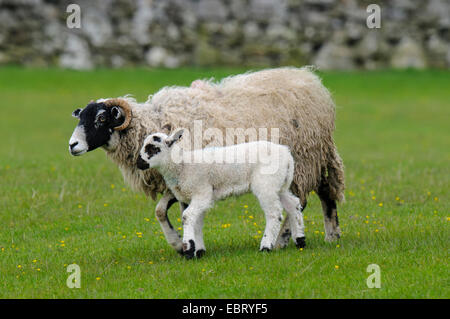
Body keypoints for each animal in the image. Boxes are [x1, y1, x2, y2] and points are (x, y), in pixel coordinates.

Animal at [137, 130, 306, 260]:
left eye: (152, 148)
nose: (139, 163)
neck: (182, 166)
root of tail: (287, 155)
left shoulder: (202, 193)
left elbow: (187, 217)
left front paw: (189, 250)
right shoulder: (194, 197)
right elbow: (196, 222)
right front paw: (199, 251)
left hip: (266, 184)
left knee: (274, 214)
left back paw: (266, 247)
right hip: (280, 184)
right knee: (293, 205)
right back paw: (300, 240)